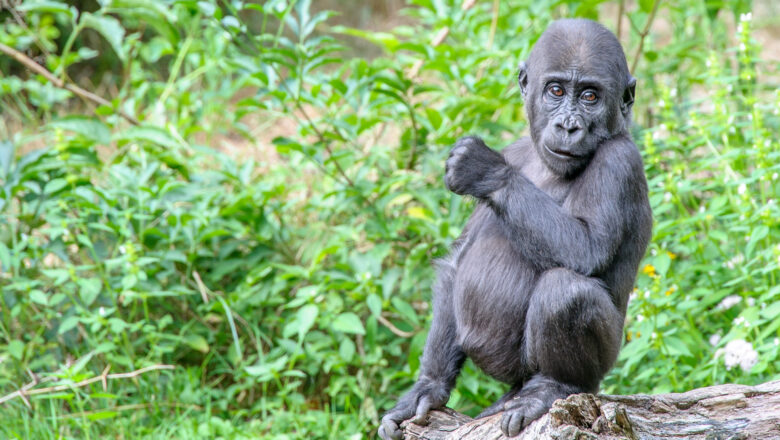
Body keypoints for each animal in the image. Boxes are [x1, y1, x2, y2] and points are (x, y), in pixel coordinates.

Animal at [378, 18, 652, 438]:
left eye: (590, 96)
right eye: (556, 91)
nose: (568, 126)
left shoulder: (620, 160)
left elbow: (587, 248)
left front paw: (486, 171)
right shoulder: (515, 149)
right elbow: (457, 263)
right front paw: (429, 385)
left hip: (605, 364)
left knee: (565, 293)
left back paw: (554, 386)